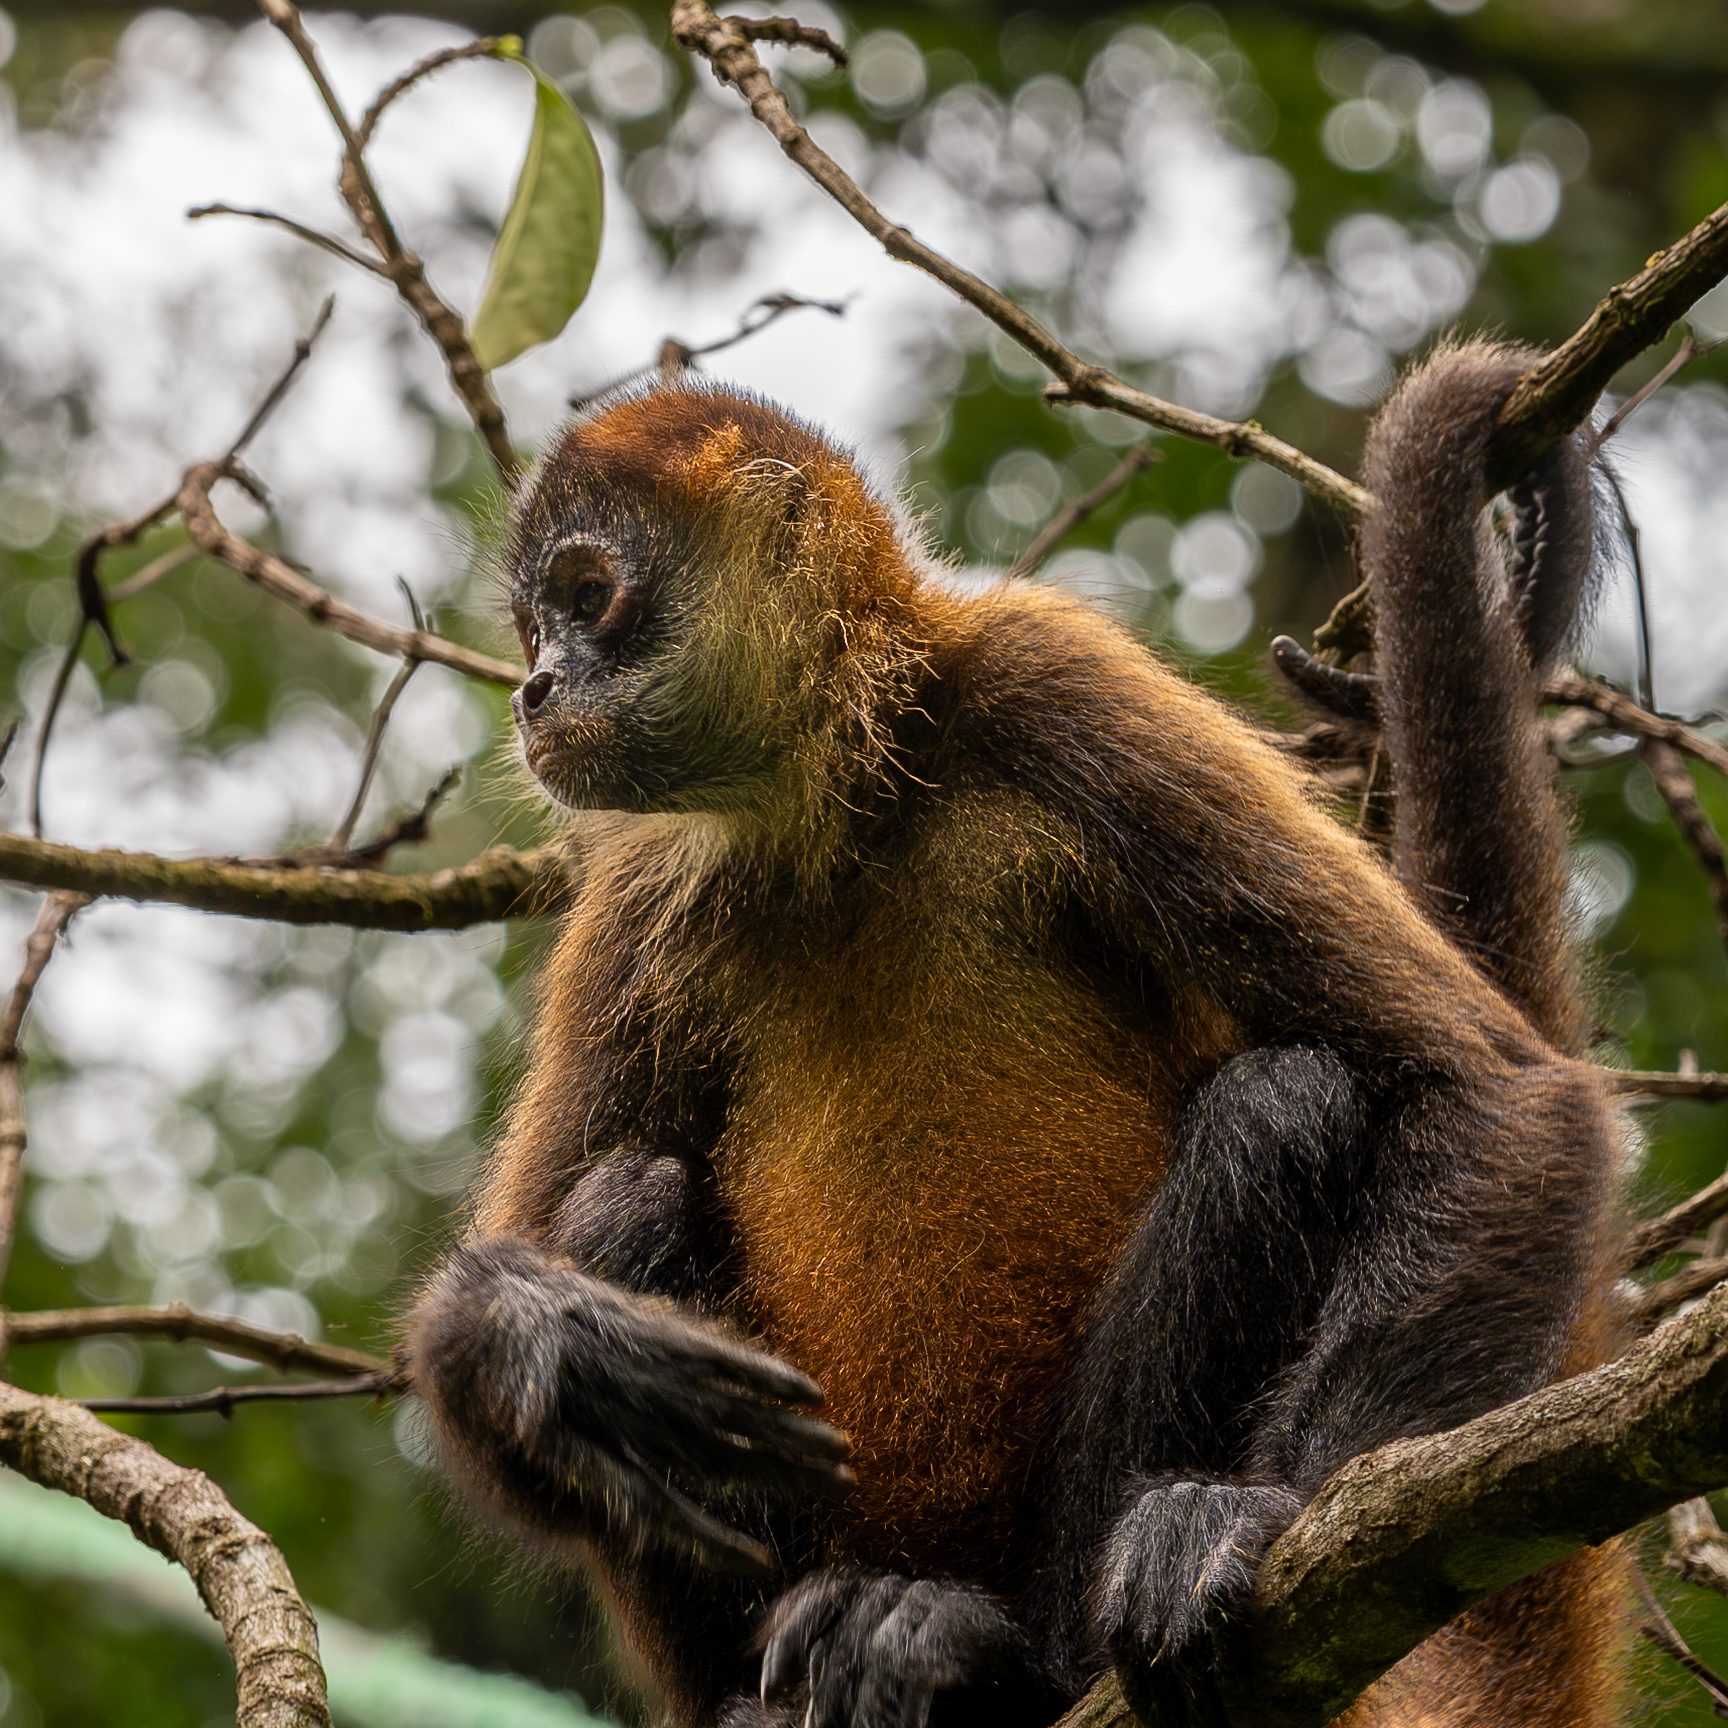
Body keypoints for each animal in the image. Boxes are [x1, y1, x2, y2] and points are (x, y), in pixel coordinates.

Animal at [406, 340, 1621, 1728]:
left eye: (588, 596)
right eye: (533, 627)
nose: (535, 686)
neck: (841, 809)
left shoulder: (1046, 679)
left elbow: (1500, 1096)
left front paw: (1252, 1516)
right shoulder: (640, 876)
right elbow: (487, 1305)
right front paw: (558, 1349)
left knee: (1288, 1100)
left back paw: (994, 1654)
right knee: (621, 1196)